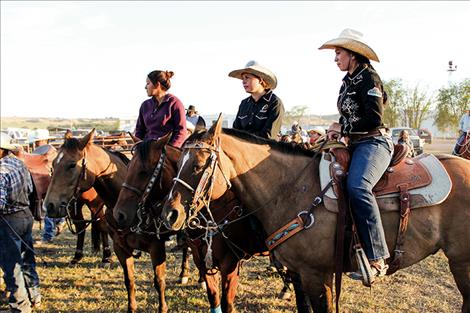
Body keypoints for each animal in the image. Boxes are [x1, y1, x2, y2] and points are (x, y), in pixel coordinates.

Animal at [42, 129, 193, 312]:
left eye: (72, 165)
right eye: (53, 164)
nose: (49, 205)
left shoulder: (156, 248)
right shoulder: (121, 248)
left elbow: (159, 282)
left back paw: (186, 275)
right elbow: (129, 280)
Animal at [111, 136, 308, 312]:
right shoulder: (202, 259)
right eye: (128, 166)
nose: (119, 214)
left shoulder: (230, 263)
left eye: (144, 171)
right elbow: (214, 298)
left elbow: (227, 303)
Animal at [162, 116, 470, 312]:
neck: (292, 189)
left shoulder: (316, 274)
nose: (170, 214)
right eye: (178, 162)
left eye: (199, 165)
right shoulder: (300, 274)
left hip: (462, 262)